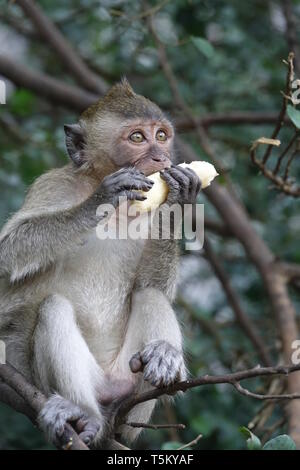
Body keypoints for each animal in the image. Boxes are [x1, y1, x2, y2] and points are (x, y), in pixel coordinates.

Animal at [0, 81, 202, 448]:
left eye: (161, 135)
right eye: (137, 138)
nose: (161, 157)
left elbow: (152, 285)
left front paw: (181, 197)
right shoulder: (52, 185)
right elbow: (8, 256)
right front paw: (99, 200)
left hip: (133, 391)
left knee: (150, 296)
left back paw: (164, 359)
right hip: (48, 379)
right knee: (50, 308)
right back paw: (85, 415)